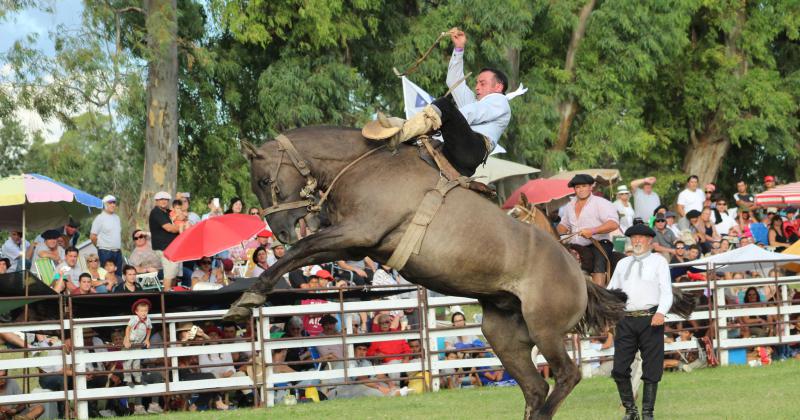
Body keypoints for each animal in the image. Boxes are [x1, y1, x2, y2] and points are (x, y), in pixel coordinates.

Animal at [228, 126, 628, 418]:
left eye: (264, 181)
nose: (279, 231)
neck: (363, 167)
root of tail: (578, 276)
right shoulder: (354, 245)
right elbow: (301, 253)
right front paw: (248, 296)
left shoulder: (359, 231)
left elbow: (301, 249)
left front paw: (246, 298)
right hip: (505, 335)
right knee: (535, 387)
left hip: (545, 329)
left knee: (566, 375)